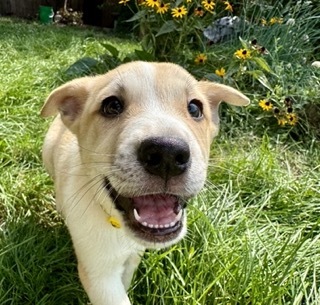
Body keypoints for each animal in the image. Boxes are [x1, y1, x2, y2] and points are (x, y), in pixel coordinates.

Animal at [40, 60, 250, 302]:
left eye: (195, 108)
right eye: (111, 106)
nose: (167, 154)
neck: (118, 225)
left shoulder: (133, 256)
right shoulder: (99, 274)